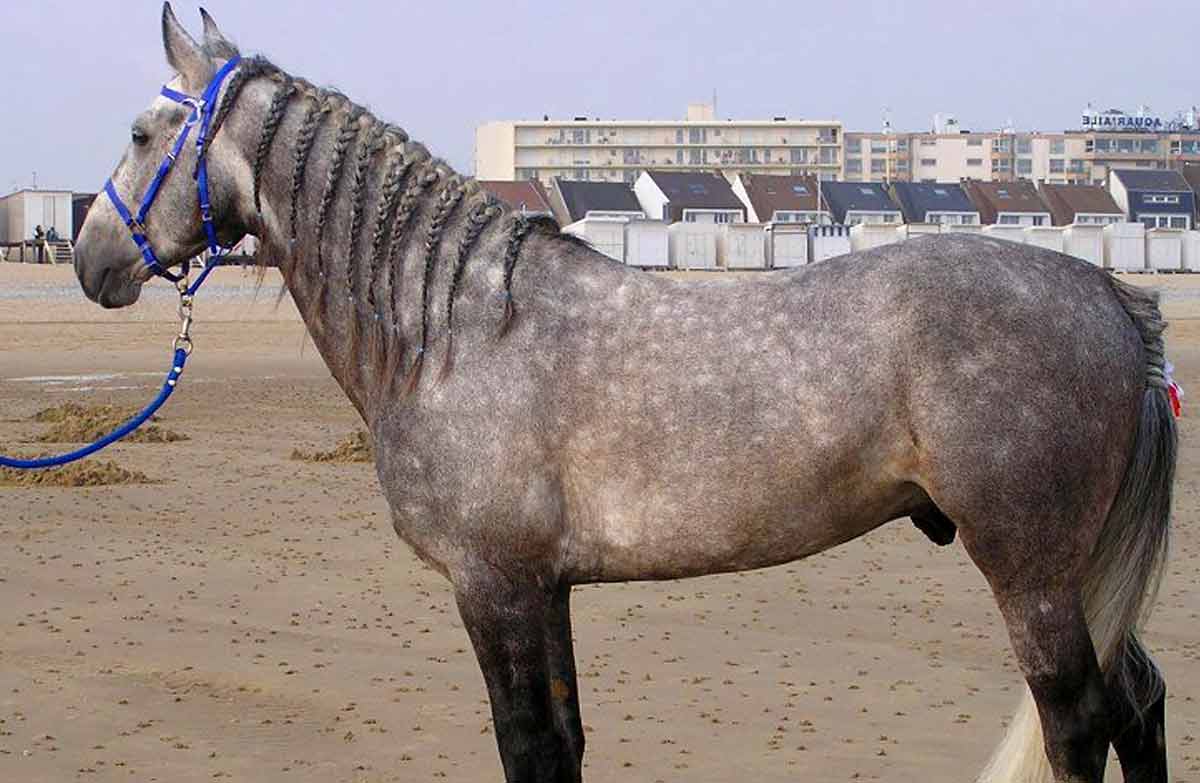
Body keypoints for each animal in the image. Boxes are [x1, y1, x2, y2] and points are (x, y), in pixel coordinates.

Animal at [72, 6, 1175, 781]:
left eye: (141, 132)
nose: (90, 260)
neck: (456, 327)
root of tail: (1107, 294)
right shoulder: (545, 589)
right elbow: (563, 743)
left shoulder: (495, 586)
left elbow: (526, 747)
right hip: (1077, 576)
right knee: (1141, 706)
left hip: (1033, 571)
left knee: (1080, 724)